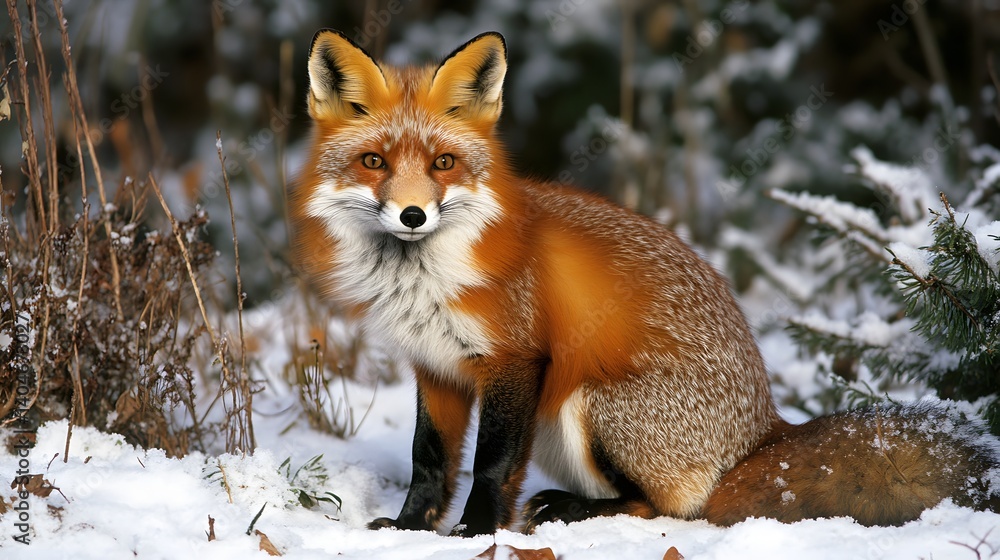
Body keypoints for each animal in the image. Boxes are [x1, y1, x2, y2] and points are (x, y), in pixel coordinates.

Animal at [290, 29, 1000, 536]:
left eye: (443, 163)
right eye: (374, 162)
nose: (413, 215)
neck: (424, 280)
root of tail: (764, 432)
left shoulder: (516, 361)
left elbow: (490, 465)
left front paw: (476, 533)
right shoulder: (435, 367)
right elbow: (430, 460)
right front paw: (411, 528)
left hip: (588, 403)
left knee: (661, 507)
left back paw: (573, 511)